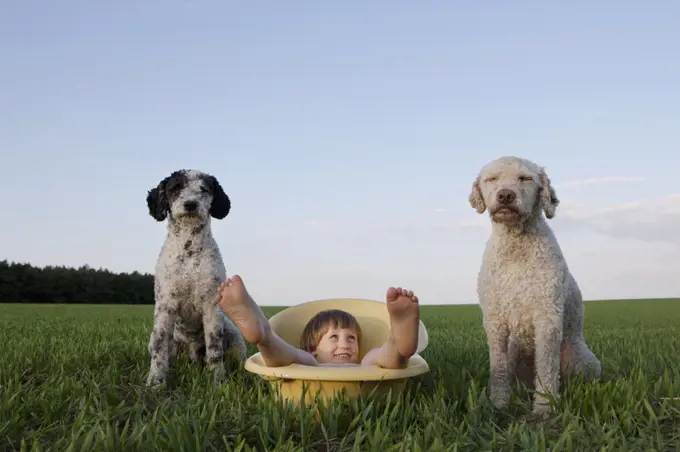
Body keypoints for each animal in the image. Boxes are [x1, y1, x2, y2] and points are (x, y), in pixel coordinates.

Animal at [143, 168, 247, 386]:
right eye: (176, 187)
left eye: (204, 189)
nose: (190, 204)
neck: (189, 250)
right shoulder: (165, 305)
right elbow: (159, 346)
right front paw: (156, 381)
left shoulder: (211, 305)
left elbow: (215, 348)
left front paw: (218, 381)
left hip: (234, 334)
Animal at [468, 156, 600, 416]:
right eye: (492, 179)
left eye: (525, 178)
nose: (505, 195)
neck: (515, 249)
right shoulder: (494, 320)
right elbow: (498, 368)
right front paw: (497, 403)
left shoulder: (547, 317)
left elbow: (547, 368)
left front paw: (544, 407)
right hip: (515, 352)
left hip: (583, 360)